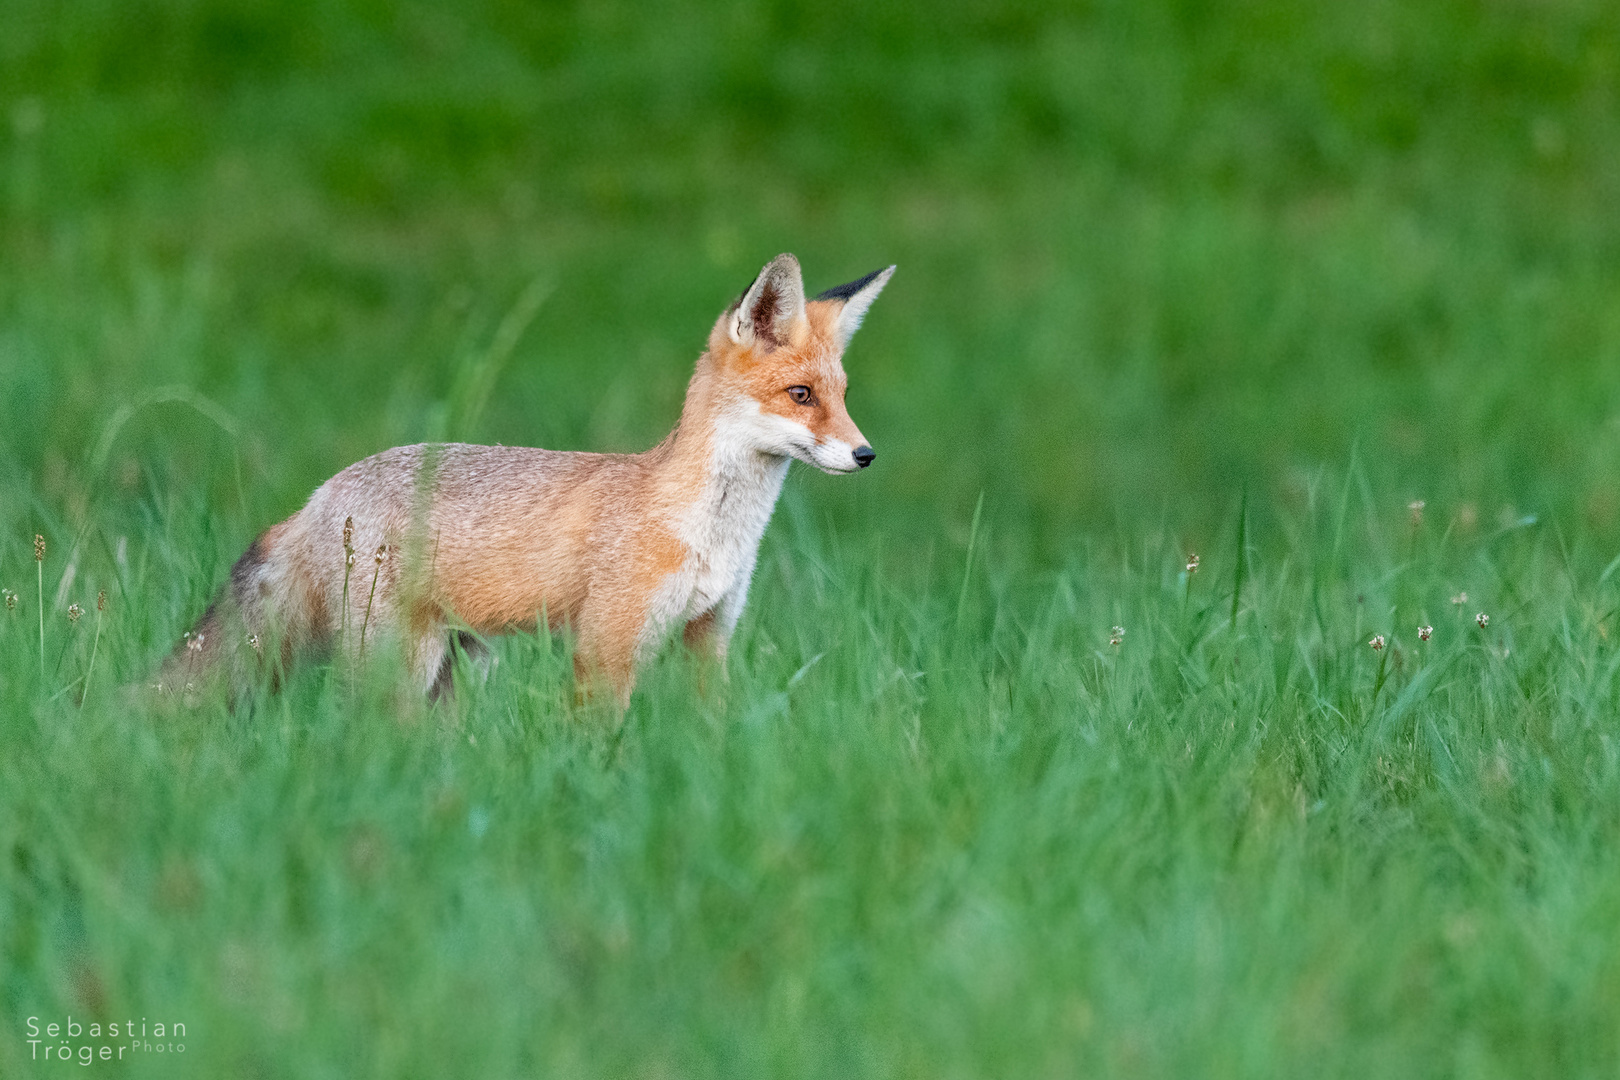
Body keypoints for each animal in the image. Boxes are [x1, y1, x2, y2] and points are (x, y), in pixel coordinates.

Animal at [157, 254, 894, 709]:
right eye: (800, 395)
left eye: (843, 395)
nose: (865, 454)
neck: (712, 532)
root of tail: (316, 496)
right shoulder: (606, 650)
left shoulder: (708, 639)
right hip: (401, 667)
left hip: (457, 672)